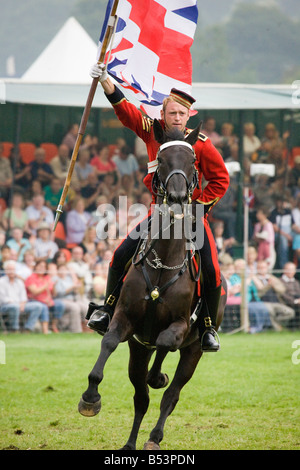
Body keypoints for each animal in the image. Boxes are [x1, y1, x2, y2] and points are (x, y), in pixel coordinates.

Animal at [78, 119, 227, 450]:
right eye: (161, 159)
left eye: (193, 160)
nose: (177, 198)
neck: (163, 264)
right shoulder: (124, 319)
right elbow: (109, 342)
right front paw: (90, 397)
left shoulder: (180, 325)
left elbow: (165, 343)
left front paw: (158, 377)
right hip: (137, 349)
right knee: (141, 397)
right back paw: (131, 442)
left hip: (194, 349)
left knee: (170, 394)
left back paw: (154, 435)